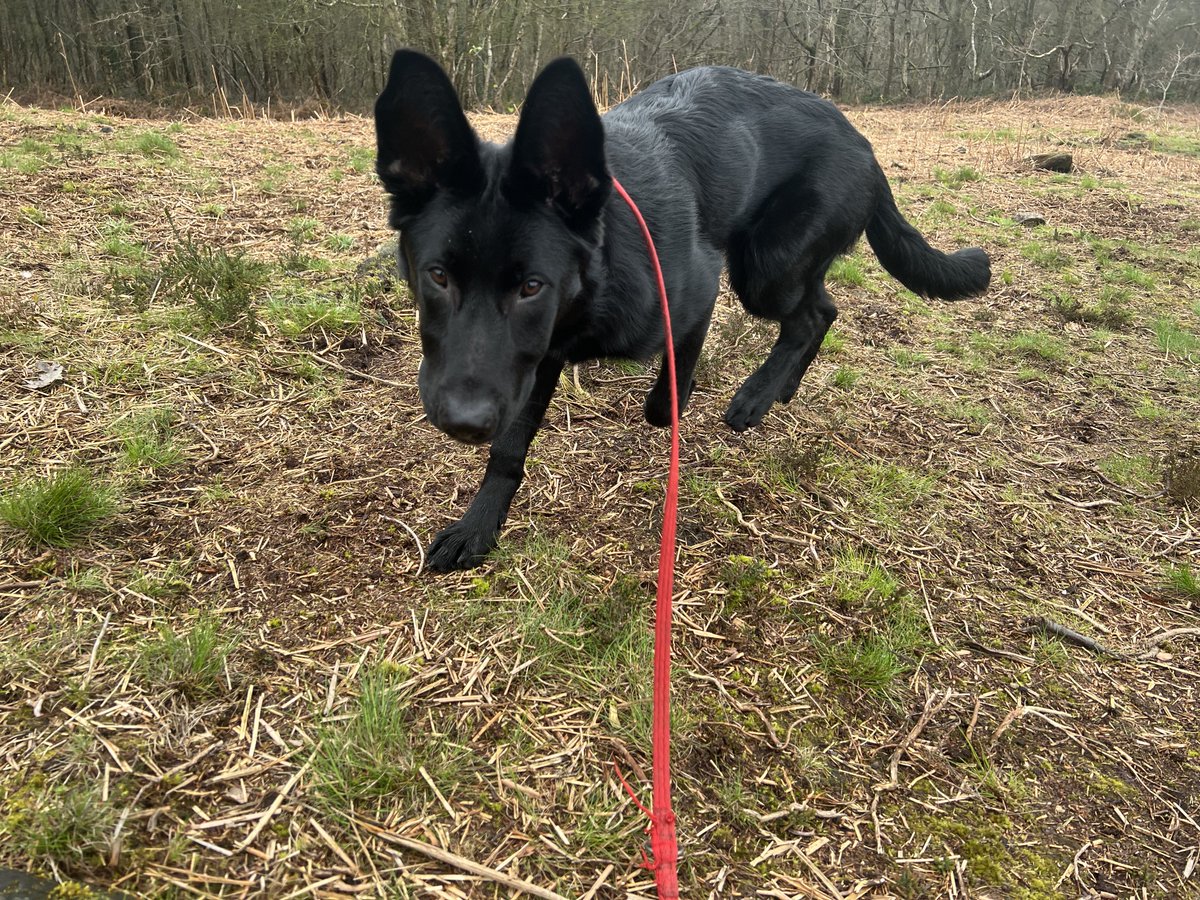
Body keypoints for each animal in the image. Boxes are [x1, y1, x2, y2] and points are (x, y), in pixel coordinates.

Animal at [374, 49, 993, 571]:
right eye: (437, 276)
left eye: (532, 286)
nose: (462, 422)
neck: (599, 265)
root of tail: (863, 142)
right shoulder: (530, 362)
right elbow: (507, 448)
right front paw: (478, 527)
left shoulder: (697, 289)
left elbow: (668, 393)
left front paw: (679, 399)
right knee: (822, 305)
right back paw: (783, 387)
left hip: (763, 268)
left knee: (813, 314)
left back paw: (754, 398)